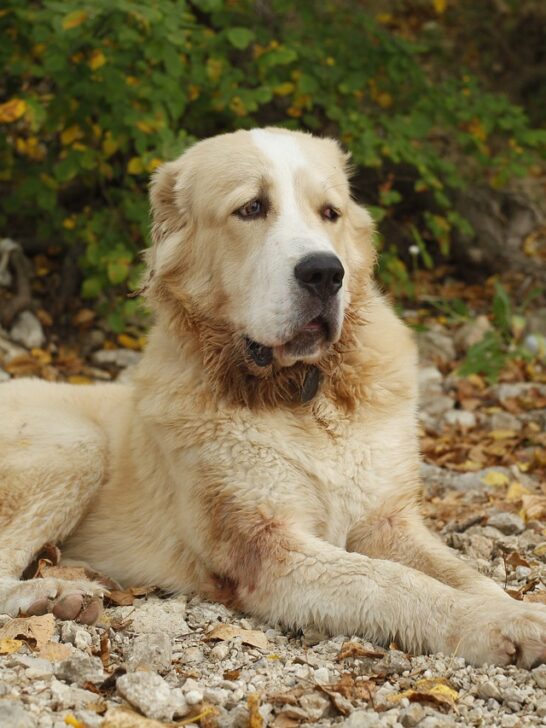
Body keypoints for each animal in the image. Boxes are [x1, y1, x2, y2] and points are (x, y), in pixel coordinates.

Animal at [1, 129, 544, 664]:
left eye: (330, 213)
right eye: (252, 208)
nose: (325, 273)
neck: (304, 394)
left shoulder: (387, 522)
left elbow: (461, 572)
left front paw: (510, 607)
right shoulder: (266, 546)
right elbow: (390, 581)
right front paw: (493, 624)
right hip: (76, 446)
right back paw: (53, 595)